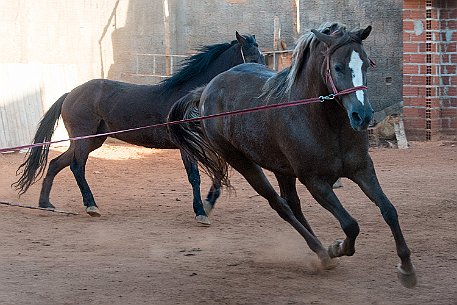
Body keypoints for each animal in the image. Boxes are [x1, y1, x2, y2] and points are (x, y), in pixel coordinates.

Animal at [13, 32, 264, 221]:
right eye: (252, 56)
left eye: (262, 57)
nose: (262, 77)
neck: (190, 98)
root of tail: (70, 94)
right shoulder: (187, 147)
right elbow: (195, 177)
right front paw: (201, 212)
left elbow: (217, 174)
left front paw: (207, 205)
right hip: (84, 139)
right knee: (77, 166)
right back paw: (91, 206)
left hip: (93, 140)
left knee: (56, 163)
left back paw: (45, 203)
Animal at [168, 22, 416, 286]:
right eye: (337, 67)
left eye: (367, 63)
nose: (363, 116)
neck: (324, 121)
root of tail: (207, 89)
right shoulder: (315, 182)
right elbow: (350, 225)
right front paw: (337, 247)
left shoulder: (362, 169)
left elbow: (389, 210)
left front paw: (406, 268)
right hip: (244, 163)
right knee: (281, 206)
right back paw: (323, 253)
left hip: (281, 168)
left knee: (293, 204)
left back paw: (322, 250)